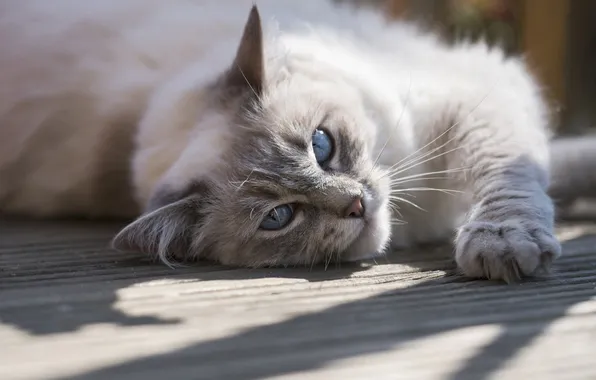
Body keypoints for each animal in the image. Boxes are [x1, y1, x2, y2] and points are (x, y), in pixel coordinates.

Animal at [0, 0, 592, 282]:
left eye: (321, 146)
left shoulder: (472, 97)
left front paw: (503, 242)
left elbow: (514, 172)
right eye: (278, 217)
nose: (356, 205)